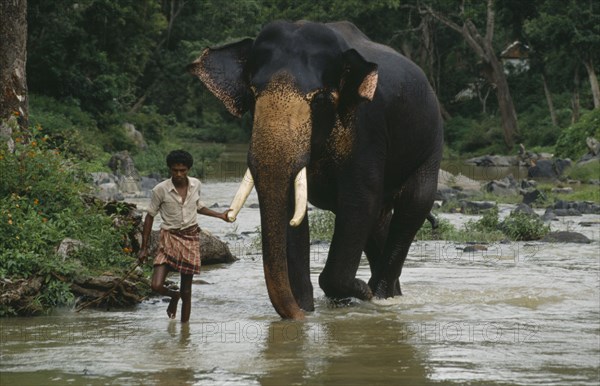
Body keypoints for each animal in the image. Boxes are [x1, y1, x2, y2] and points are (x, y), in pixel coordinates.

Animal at [190, 19, 442, 320]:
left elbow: (360, 201)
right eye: (252, 94)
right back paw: (384, 294)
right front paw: (306, 311)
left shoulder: (367, 128)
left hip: (429, 149)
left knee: (412, 205)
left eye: (320, 100)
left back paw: (379, 295)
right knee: (379, 221)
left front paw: (358, 291)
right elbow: (291, 209)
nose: (296, 315)